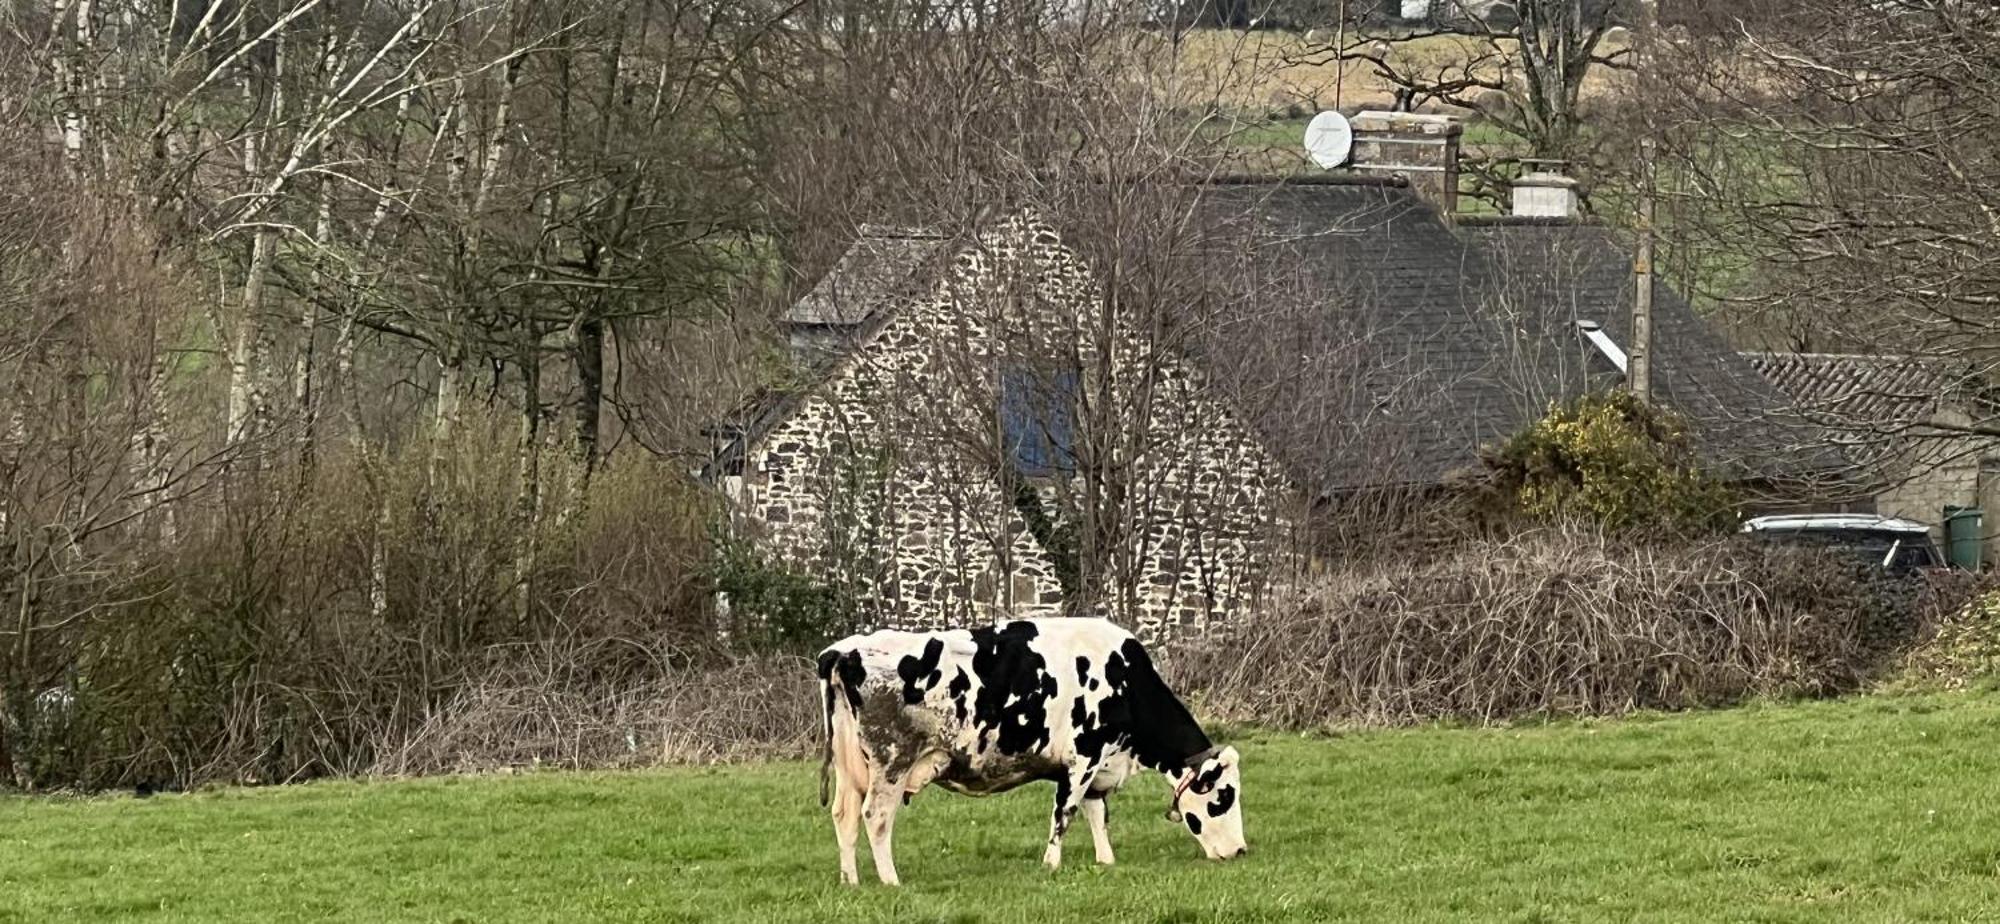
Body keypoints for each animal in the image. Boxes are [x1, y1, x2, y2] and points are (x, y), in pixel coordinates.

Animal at [820, 616, 1240, 884]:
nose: (1240, 852)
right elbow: (1065, 813)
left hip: (849, 767)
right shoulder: (1083, 757)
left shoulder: (1097, 762)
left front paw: (1106, 861)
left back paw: (850, 880)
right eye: (1224, 797)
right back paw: (891, 880)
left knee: (844, 815)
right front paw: (1051, 865)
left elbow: (1096, 813)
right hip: (892, 761)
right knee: (875, 815)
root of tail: (844, 651)